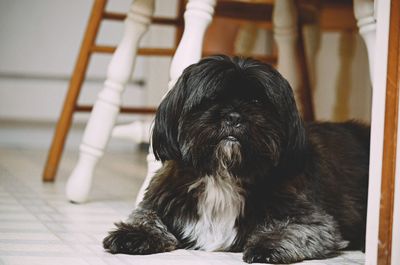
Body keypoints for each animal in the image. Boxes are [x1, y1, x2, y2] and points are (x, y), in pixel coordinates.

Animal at [102, 55, 368, 262]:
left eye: (258, 101)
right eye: (211, 99)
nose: (234, 116)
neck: (224, 173)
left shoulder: (316, 222)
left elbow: (298, 230)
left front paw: (268, 243)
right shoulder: (162, 196)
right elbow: (145, 215)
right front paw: (134, 234)